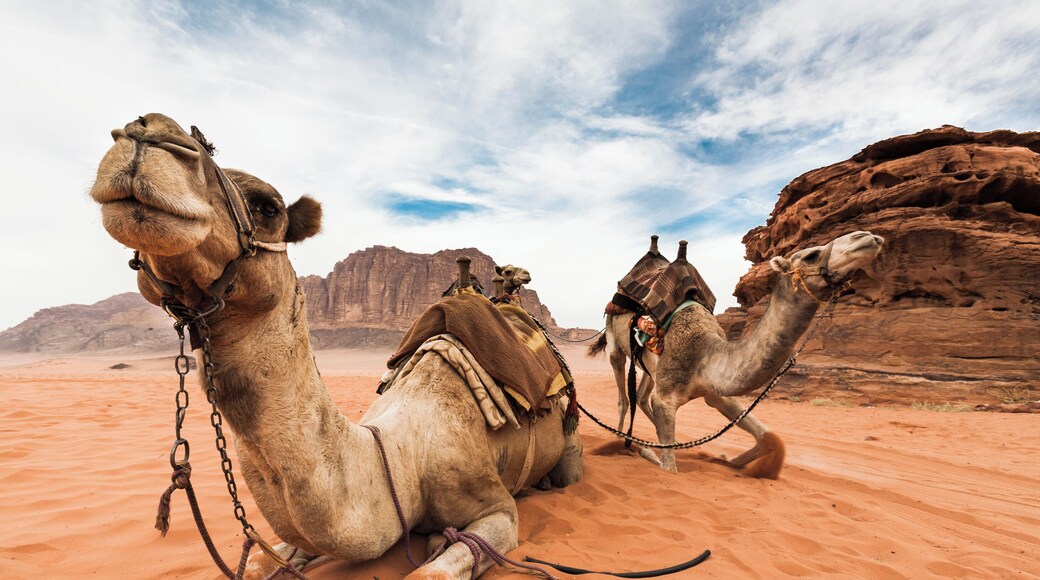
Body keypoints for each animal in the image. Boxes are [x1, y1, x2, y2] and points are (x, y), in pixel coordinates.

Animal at [89, 113, 583, 579]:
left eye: (268, 207)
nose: (146, 133)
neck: (399, 459)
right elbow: (263, 560)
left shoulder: (497, 510)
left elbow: (433, 568)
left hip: (568, 444)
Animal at [590, 232, 884, 476]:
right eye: (811, 254)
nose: (868, 238)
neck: (706, 352)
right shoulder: (669, 395)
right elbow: (669, 469)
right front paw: (653, 453)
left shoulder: (716, 393)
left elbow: (768, 437)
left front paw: (727, 459)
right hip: (615, 340)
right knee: (623, 394)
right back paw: (622, 440)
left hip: (652, 368)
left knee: (641, 397)